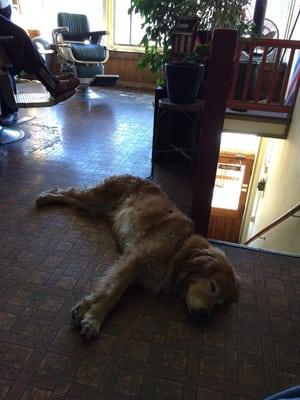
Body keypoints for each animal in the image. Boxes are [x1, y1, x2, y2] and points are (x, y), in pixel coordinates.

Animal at [36, 174, 238, 338]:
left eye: (218, 304)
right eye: (212, 287)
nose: (204, 316)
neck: (178, 249)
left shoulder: (133, 268)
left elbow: (107, 286)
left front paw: (85, 309)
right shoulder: (135, 259)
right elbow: (114, 292)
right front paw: (95, 318)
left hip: (96, 206)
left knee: (70, 197)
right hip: (98, 198)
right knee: (70, 191)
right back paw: (45, 197)